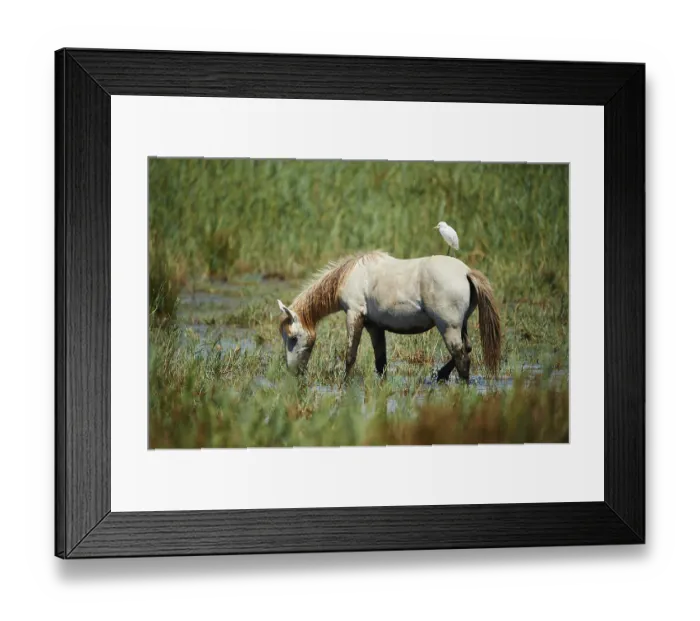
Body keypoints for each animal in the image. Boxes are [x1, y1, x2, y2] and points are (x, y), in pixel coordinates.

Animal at [276, 250, 501, 383]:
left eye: (293, 338)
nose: (292, 372)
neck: (351, 276)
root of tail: (466, 272)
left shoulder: (354, 315)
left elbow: (350, 355)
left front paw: (345, 384)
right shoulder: (374, 326)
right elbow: (381, 362)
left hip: (448, 327)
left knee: (462, 358)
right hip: (461, 325)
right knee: (466, 349)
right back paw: (441, 376)